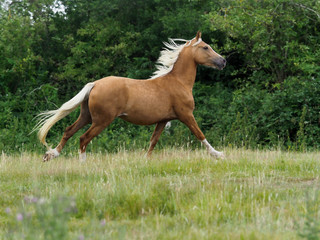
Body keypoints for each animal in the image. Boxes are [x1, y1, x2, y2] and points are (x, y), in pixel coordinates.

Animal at [35, 31, 226, 161]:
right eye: (205, 47)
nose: (223, 61)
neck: (178, 82)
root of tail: (95, 84)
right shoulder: (186, 115)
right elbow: (200, 134)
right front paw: (218, 154)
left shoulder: (162, 120)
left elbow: (153, 141)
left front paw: (146, 160)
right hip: (102, 120)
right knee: (83, 138)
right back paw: (82, 163)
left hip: (87, 116)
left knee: (69, 131)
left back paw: (51, 154)